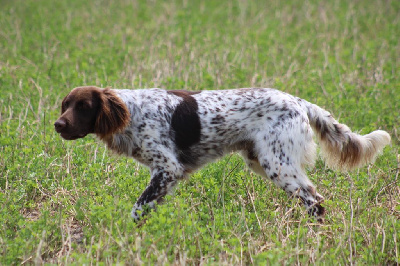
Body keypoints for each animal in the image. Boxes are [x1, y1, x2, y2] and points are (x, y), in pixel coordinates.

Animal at [54, 86, 390, 221]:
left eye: (83, 106)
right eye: (65, 105)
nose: (57, 125)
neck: (131, 112)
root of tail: (298, 101)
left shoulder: (167, 169)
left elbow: (137, 209)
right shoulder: (164, 177)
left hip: (278, 164)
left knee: (315, 201)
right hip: (261, 160)